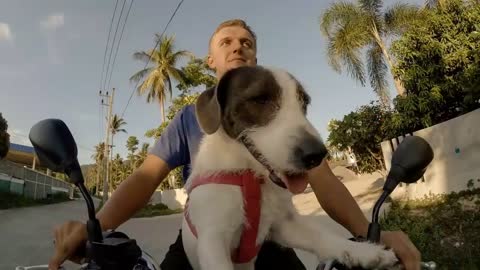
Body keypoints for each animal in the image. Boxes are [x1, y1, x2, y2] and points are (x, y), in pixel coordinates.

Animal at [180, 66, 398, 270]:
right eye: (259, 99)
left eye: (304, 103)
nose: (316, 155)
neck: (250, 176)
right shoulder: (213, 240)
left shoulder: (283, 225)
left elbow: (324, 238)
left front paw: (365, 252)